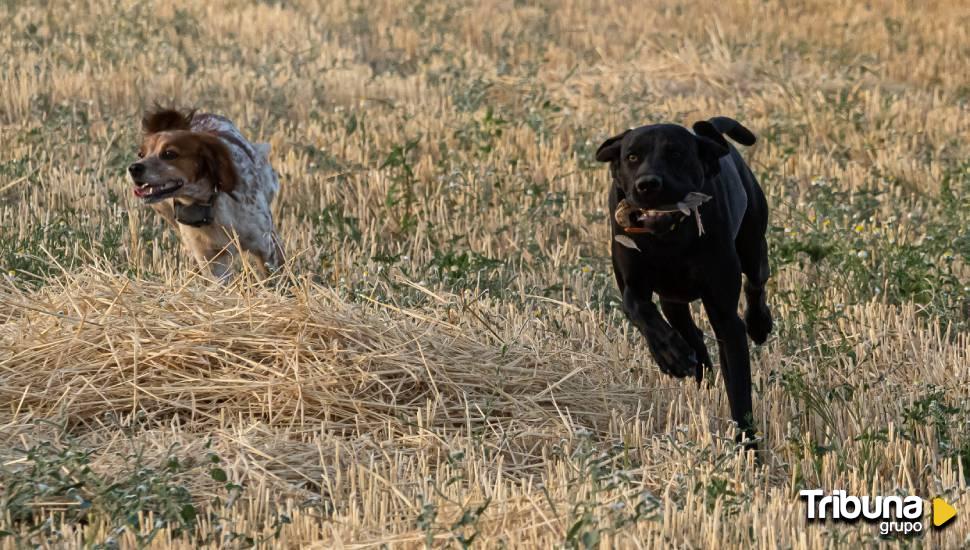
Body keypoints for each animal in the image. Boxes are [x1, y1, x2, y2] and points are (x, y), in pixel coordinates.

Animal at [129, 108, 282, 280]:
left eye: (169, 154)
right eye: (141, 154)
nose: (134, 168)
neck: (208, 202)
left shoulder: (266, 248)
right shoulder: (212, 261)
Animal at [588, 117, 772, 448]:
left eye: (676, 154)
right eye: (632, 156)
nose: (647, 184)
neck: (668, 240)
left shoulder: (725, 316)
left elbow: (739, 388)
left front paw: (748, 445)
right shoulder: (633, 286)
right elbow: (640, 311)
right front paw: (670, 355)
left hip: (752, 244)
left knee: (756, 281)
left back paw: (759, 324)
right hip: (673, 299)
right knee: (691, 333)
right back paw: (693, 363)